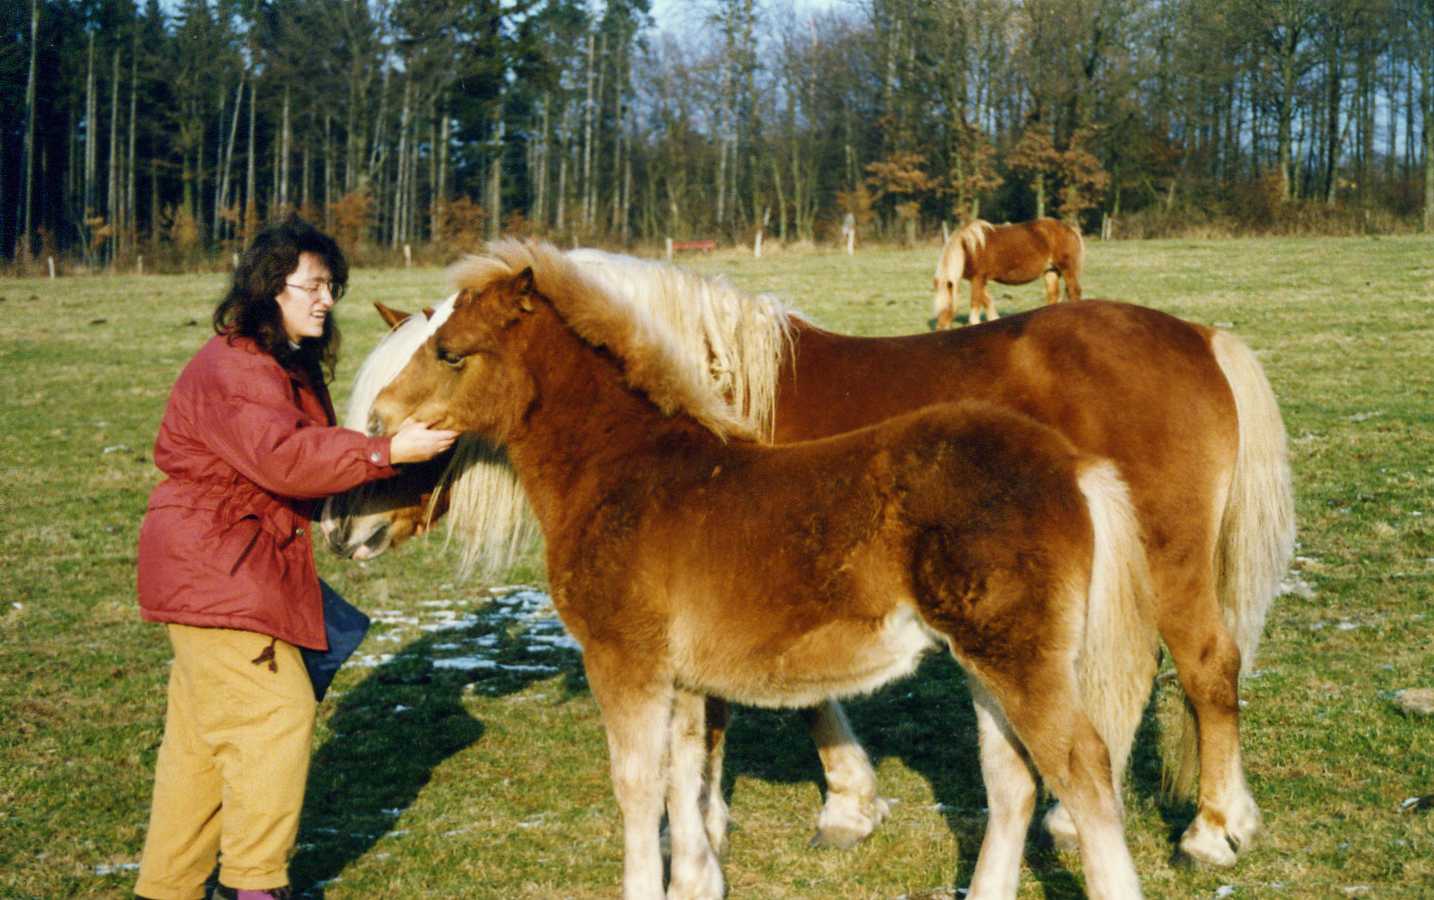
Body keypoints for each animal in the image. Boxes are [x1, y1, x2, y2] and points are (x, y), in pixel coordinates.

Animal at [325, 243, 1302, 865]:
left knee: (1206, 667)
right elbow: (791, 705)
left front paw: (741, 818)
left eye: (442, 361)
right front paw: (845, 806)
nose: (343, 527)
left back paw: (1213, 830)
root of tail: (1201, 337)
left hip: (1167, 569)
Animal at [929, 216, 1084, 328]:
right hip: (1051, 272)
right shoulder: (979, 281)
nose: (940, 330)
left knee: (1073, 292)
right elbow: (988, 303)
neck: (969, 247)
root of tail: (1070, 229)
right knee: (1053, 296)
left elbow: (975, 309)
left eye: (947, 307)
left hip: (1067, 270)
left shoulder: (978, 279)